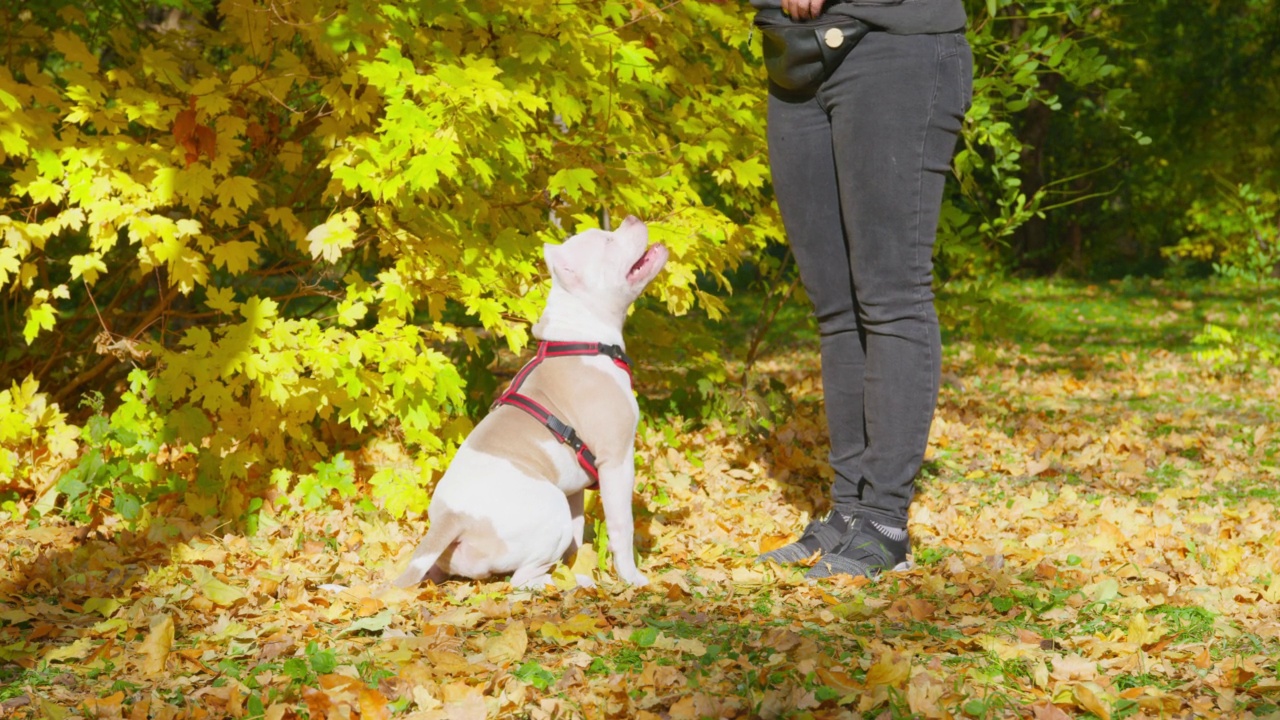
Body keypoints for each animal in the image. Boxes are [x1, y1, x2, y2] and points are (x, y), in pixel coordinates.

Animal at [389, 215, 665, 586]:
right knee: (520, 580)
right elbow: (623, 527)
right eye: (608, 241)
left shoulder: (575, 489)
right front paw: (632, 578)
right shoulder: (616, 461)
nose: (633, 218)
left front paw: (578, 565)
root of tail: (451, 518)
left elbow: (576, 539)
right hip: (552, 505)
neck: (583, 339)